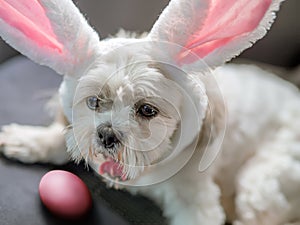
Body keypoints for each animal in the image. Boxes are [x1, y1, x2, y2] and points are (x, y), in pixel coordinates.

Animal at [0, 0, 300, 225]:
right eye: (94, 101)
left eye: (147, 110)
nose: (106, 134)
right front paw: (29, 140)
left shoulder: (196, 202)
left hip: (262, 181)